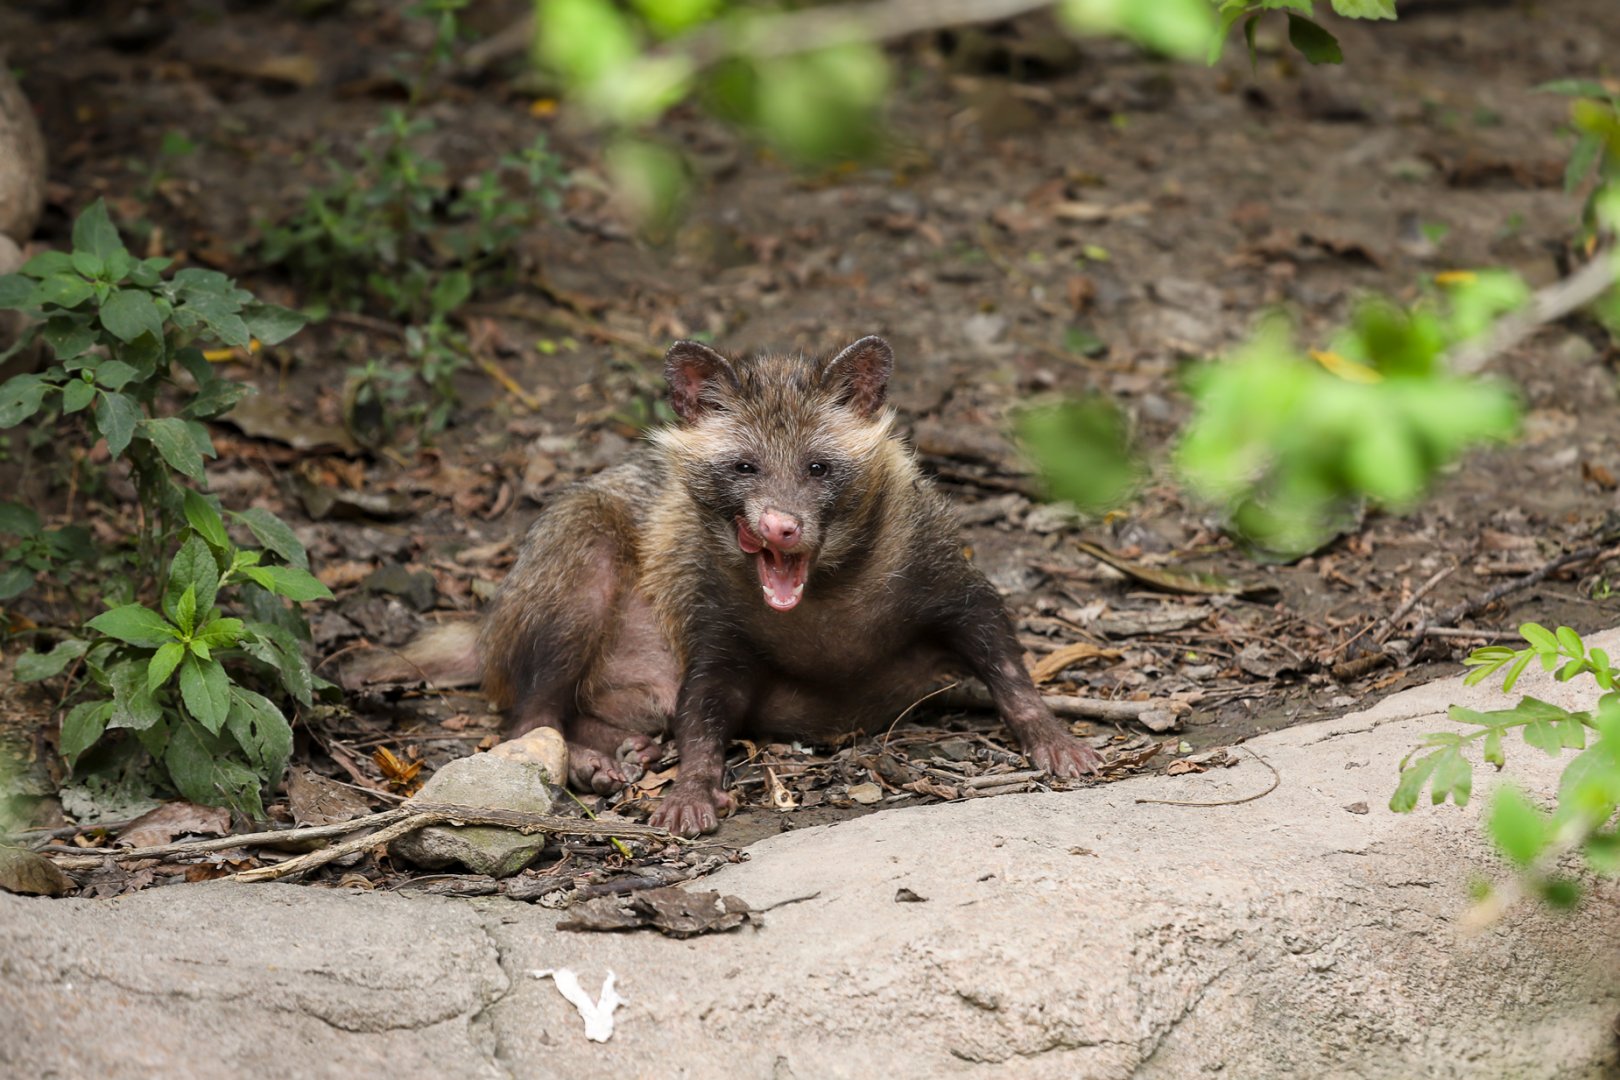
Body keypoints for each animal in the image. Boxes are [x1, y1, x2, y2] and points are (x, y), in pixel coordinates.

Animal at [360, 336, 1100, 836]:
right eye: (744, 466)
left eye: (819, 466)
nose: (778, 528)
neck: (828, 606)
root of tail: (483, 629)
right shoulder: (716, 635)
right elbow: (701, 716)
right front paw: (689, 795)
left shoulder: (953, 585)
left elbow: (1008, 664)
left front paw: (1058, 743)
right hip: (575, 550)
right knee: (529, 716)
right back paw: (589, 763)